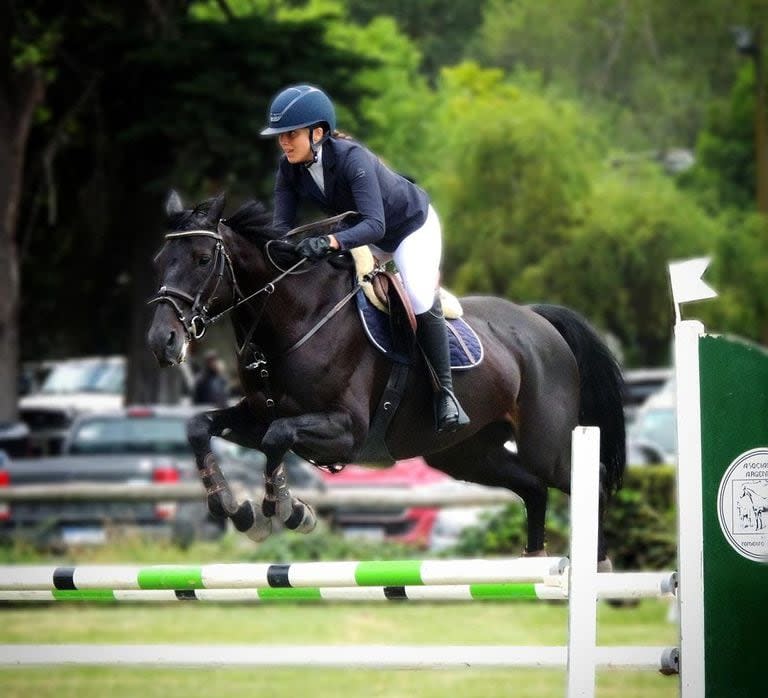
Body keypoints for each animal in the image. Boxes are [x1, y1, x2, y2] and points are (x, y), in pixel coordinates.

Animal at [146, 190, 624, 560]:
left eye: (202, 259)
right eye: (160, 259)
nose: (161, 341)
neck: (297, 319)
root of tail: (538, 320)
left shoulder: (347, 430)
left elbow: (277, 438)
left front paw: (288, 509)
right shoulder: (258, 414)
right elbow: (200, 426)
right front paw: (238, 510)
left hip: (548, 446)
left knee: (591, 483)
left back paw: (600, 570)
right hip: (465, 454)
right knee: (533, 489)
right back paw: (536, 561)